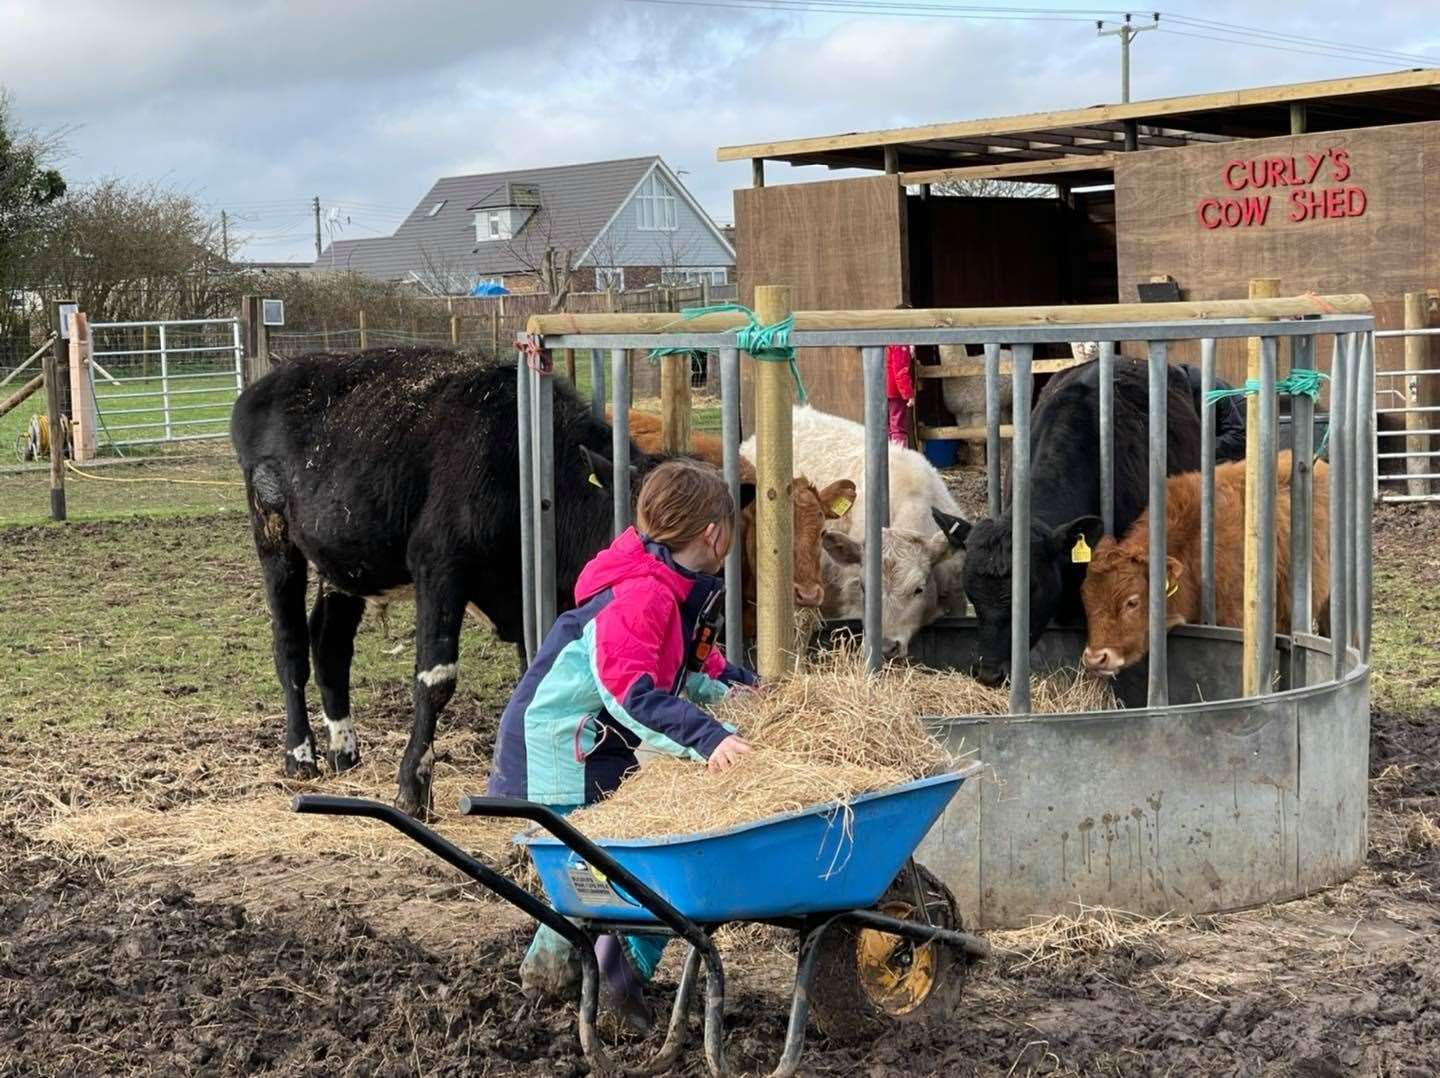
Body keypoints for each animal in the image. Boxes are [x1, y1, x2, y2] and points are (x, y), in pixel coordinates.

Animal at [231, 346, 668, 817]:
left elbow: (536, 675)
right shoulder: (439, 566)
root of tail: (273, 379)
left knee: (330, 643)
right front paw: (412, 786)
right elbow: (435, 680)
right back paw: (300, 755)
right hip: (272, 532)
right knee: (290, 645)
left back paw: (344, 753)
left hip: (344, 557)